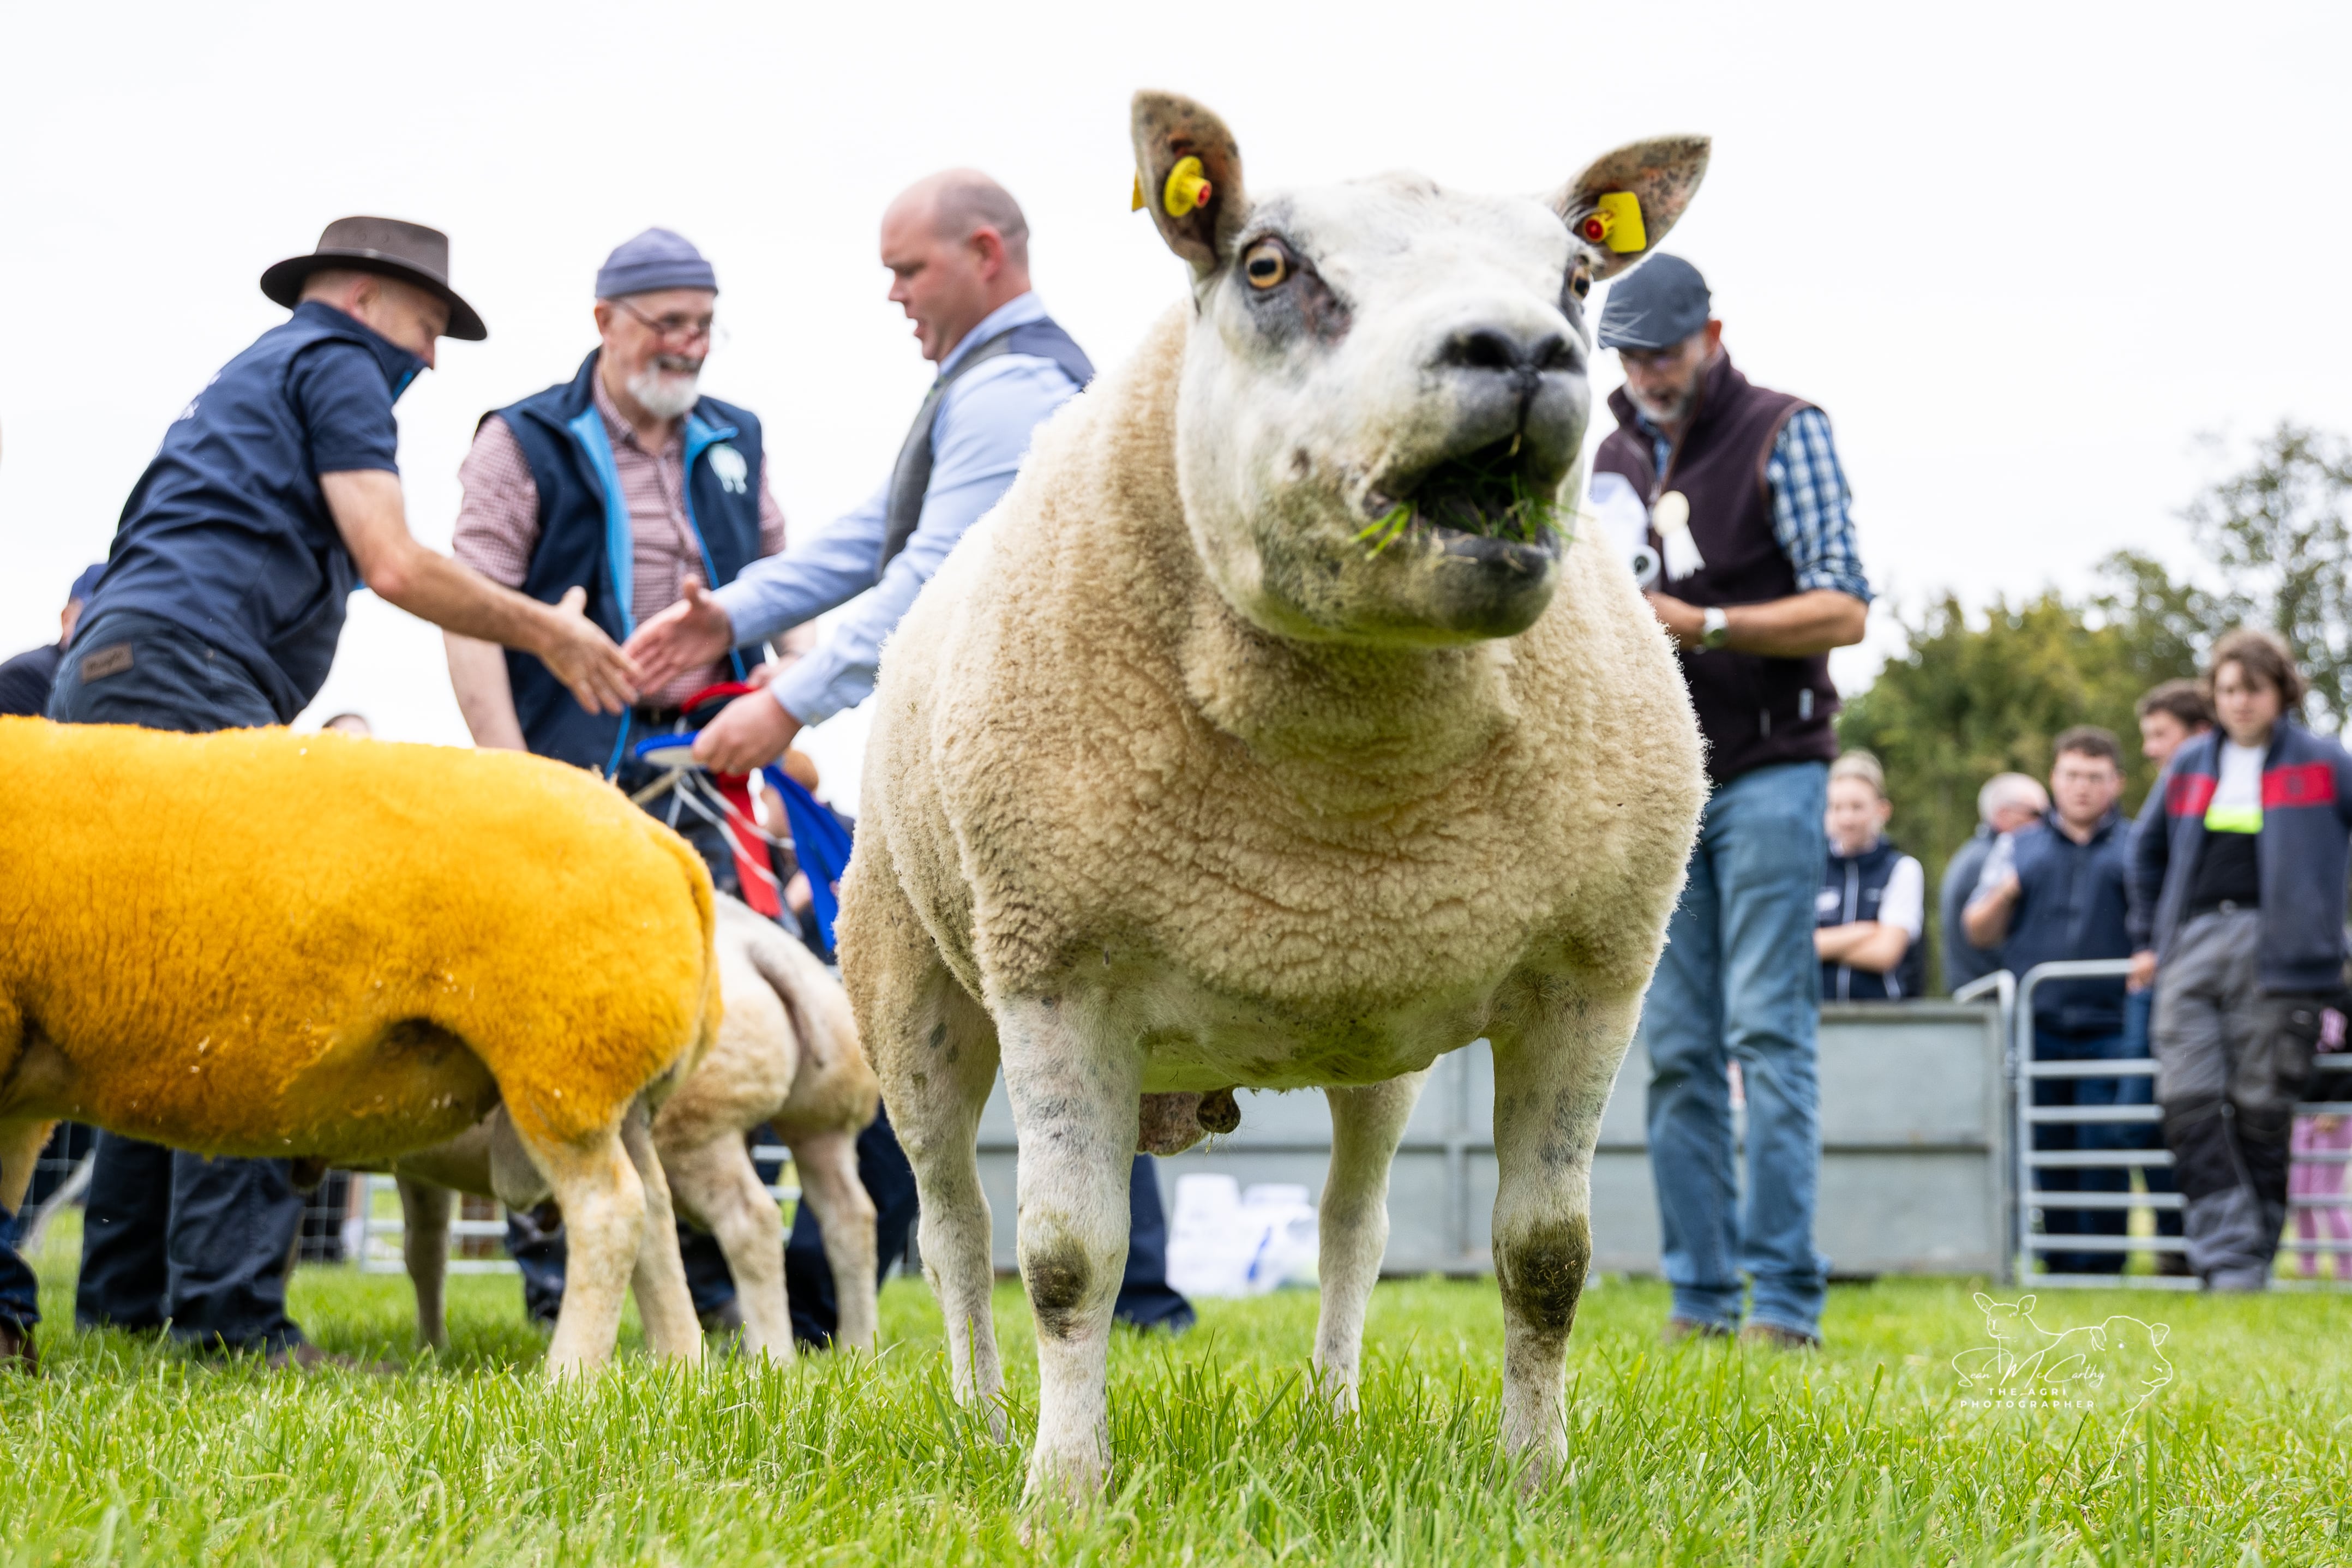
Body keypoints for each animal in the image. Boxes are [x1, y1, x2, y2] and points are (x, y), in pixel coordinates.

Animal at [0, 716, 721, 1375]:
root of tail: (658, 836)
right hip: (612, 1082)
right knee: (658, 1218)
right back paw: (680, 1371)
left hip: (561, 1062)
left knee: (611, 1209)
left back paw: (569, 1380)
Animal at [389, 894, 880, 1362]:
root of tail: (761, 944)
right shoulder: (419, 1167)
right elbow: (426, 1251)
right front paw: (431, 1346)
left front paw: (429, 1346)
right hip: (822, 1122)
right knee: (850, 1216)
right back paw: (857, 1349)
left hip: (698, 1131)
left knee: (751, 1220)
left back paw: (773, 1355)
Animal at [837, 90, 1712, 1503]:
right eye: (1266, 265)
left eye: (1579, 278)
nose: (1523, 352)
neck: (1342, 781)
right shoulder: (1056, 964)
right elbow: (1066, 1259)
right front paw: (1062, 1488)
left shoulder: (1590, 976)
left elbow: (1545, 1259)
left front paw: (1536, 1478)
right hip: (909, 984)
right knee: (951, 1222)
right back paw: (980, 1413)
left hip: (1379, 1052)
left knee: (1353, 1221)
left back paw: (1333, 1406)